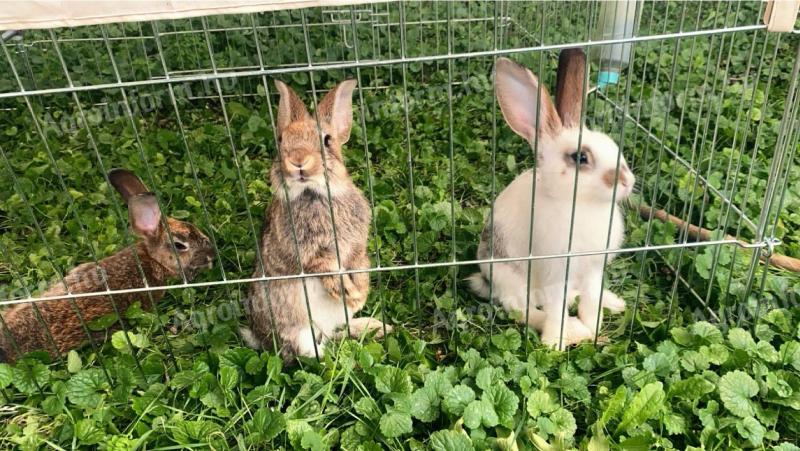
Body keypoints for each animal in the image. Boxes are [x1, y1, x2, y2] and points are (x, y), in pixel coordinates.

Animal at [242, 77, 390, 360]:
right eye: (281, 140)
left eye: (327, 140)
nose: (298, 160)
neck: (316, 193)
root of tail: (261, 338)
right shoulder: (311, 254)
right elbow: (327, 268)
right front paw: (348, 292)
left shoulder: (357, 247)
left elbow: (360, 265)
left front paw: (360, 295)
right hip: (299, 329)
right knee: (313, 352)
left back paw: (374, 327)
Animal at [466, 51, 636, 352]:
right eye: (581, 157)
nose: (628, 180)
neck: (582, 204)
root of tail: (485, 277)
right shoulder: (556, 272)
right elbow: (556, 309)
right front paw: (555, 343)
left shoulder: (593, 269)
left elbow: (591, 300)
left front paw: (594, 329)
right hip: (512, 278)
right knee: (519, 308)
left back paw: (614, 303)